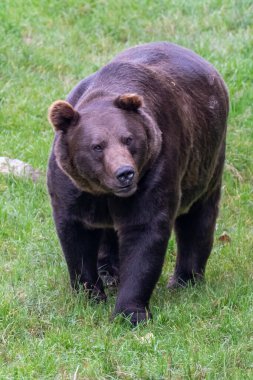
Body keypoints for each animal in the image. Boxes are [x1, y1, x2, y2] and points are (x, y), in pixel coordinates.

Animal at [46, 41, 228, 324]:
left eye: (128, 139)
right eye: (97, 146)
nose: (125, 173)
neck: (103, 190)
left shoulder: (156, 170)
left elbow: (144, 233)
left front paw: (129, 313)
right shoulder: (71, 185)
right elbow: (76, 235)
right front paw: (90, 295)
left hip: (206, 160)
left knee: (198, 218)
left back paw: (185, 280)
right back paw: (109, 271)